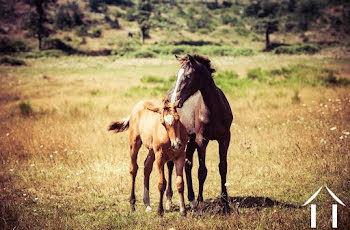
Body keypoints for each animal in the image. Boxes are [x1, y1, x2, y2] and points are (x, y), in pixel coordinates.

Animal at [166, 54, 234, 213]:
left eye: (187, 76)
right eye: (177, 75)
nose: (174, 101)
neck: (215, 109)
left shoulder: (225, 139)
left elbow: (223, 167)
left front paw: (225, 203)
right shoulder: (202, 140)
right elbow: (202, 171)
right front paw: (200, 201)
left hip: (190, 141)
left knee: (187, 164)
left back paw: (191, 200)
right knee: (171, 165)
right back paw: (169, 202)